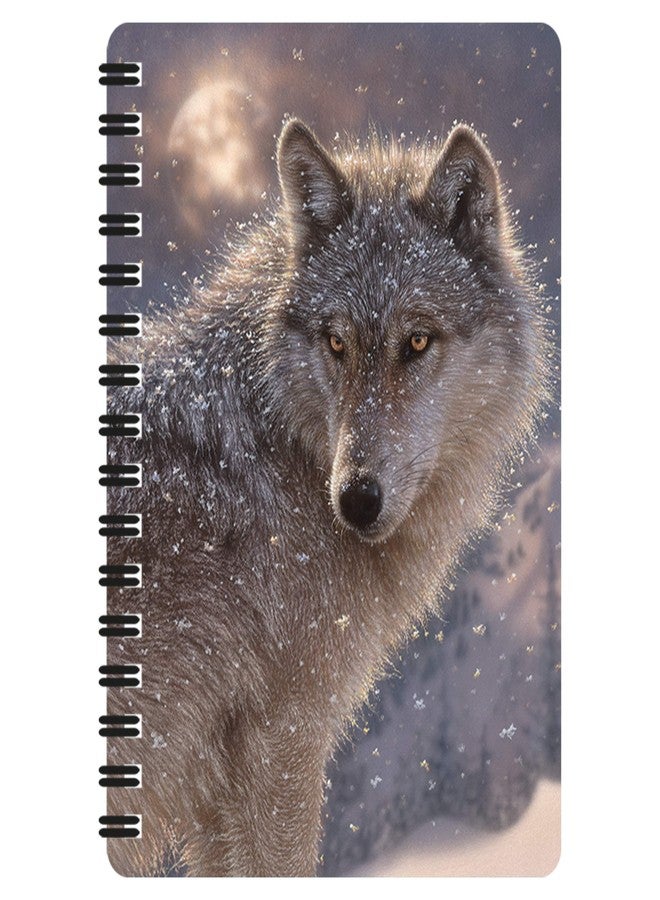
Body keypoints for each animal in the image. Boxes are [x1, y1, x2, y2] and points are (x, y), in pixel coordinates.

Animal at [105, 119, 551, 876]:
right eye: (337, 342)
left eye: (417, 340)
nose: (357, 500)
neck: (286, 443)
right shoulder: (283, 740)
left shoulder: (224, 785)